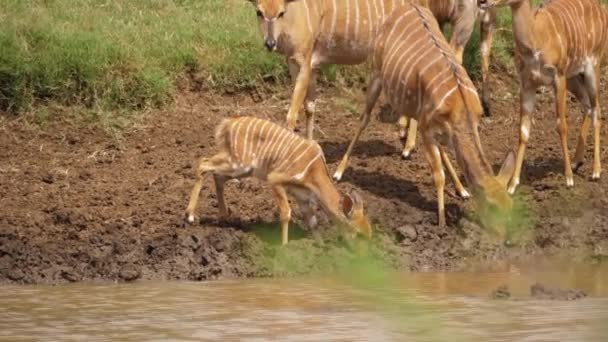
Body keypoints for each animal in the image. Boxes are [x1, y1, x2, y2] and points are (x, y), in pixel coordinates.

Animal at [185, 116, 372, 244]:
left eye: (370, 233)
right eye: (359, 234)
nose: (364, 257)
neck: (314, 172)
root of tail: (228, 123)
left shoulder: (303, 198)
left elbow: (312, 222)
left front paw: (320, 247)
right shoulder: (275, 179)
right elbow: (286, 213)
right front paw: (284, 247)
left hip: (240, 169)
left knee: (216, 175)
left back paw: (223, 217)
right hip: (238, 164)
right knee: (203, 163)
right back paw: (190, 216)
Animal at [249, 0, 496, 146]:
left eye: (281, 12)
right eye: (258, 12)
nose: (269, 43)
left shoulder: (304, 60)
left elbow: (291, 114)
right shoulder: (301, 64)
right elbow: (310, 107)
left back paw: (409, 146)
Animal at [332, 3, 512, 227]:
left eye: (510, 206)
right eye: (492, 207)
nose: (506, 234)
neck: (460, 106)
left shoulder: (441, 130)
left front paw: (462, 191)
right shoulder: (428, 129)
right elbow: (438, 175)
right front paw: (441, 222)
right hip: (376, 74)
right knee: (363, 119)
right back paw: (338, 172)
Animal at [480, 0, 608, 194]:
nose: (482, 2)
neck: (536, 39)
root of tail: (601, 9)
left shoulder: (558, 76)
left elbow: (561, 125)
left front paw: (569, 179)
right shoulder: (527, 84)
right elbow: (523, 131)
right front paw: (512, 184)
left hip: (592, 66)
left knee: (596, 109)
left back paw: (595, 172)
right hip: (574, 77)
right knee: (588, 105)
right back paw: (577, 161)